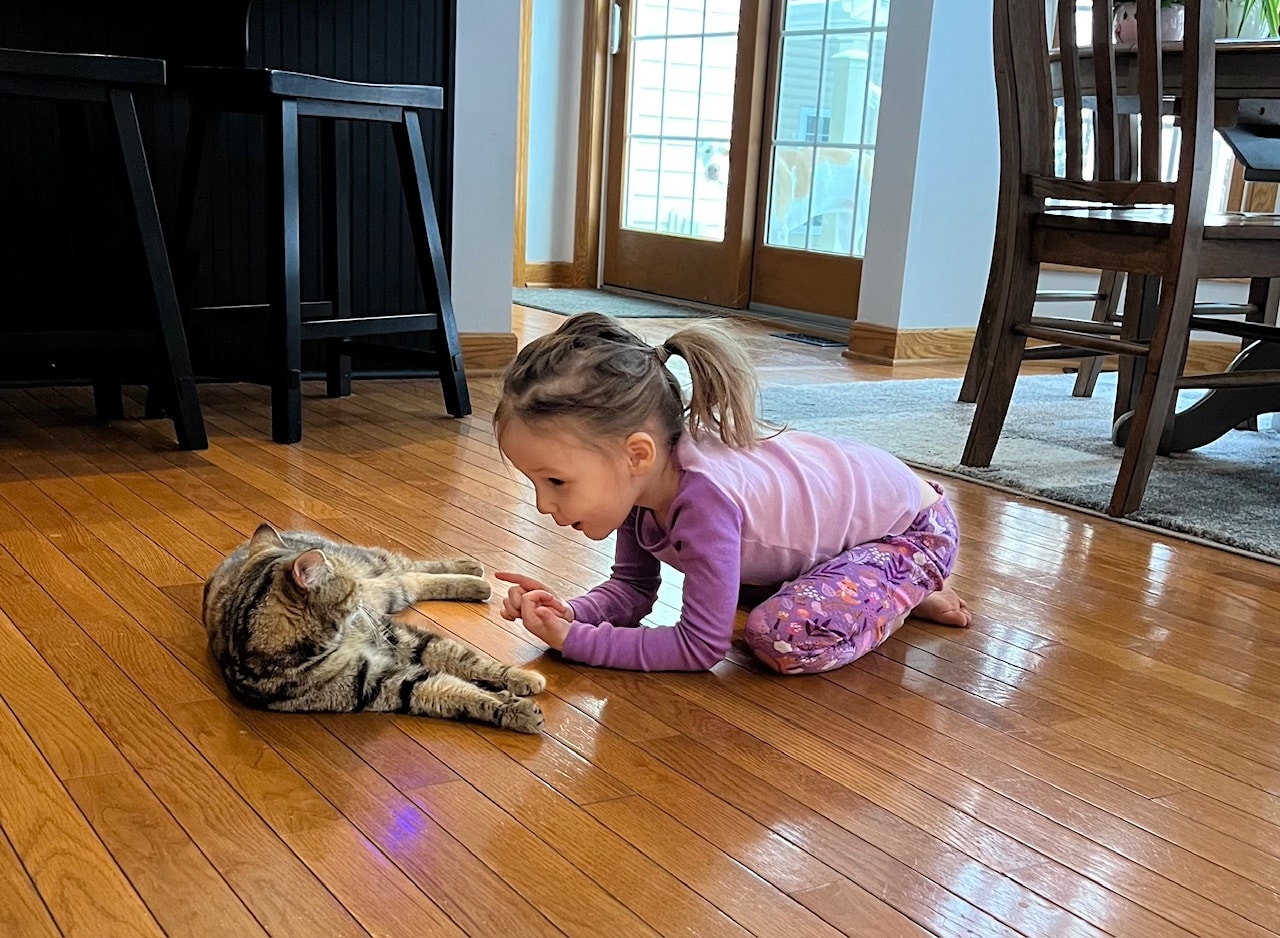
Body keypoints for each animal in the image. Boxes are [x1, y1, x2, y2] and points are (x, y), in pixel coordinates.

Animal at [199, 519, 545, 731]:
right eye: (348, 588)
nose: (358, 589)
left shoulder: (398, 636)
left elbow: (464, 659)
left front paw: (521, 677)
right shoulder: (382, 684)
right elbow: (457, 693)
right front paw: (516, 710)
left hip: (375, 567)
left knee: (411, 566)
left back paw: (473, 570)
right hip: (390, 591)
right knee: (412, 579)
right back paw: (478, 582)